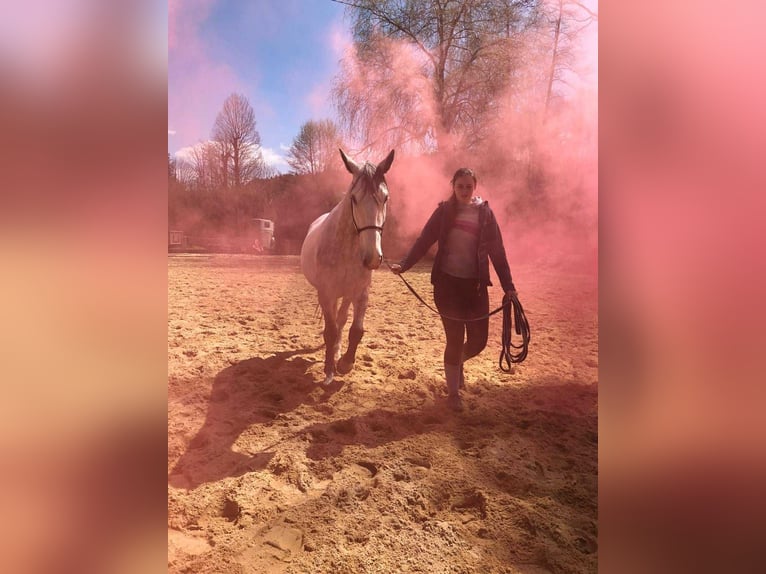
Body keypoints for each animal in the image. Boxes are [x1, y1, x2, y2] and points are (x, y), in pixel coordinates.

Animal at [300, 148, 395, 386]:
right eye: (353, 198)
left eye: (385, 197)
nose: (373, 258)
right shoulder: (326, 293)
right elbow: (330, 330)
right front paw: (328, 370)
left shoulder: (360, 292)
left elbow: (356, 330)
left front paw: (345, 363)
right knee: (333, 324)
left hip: (347, 294)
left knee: (341, 320)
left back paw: (336, 351)